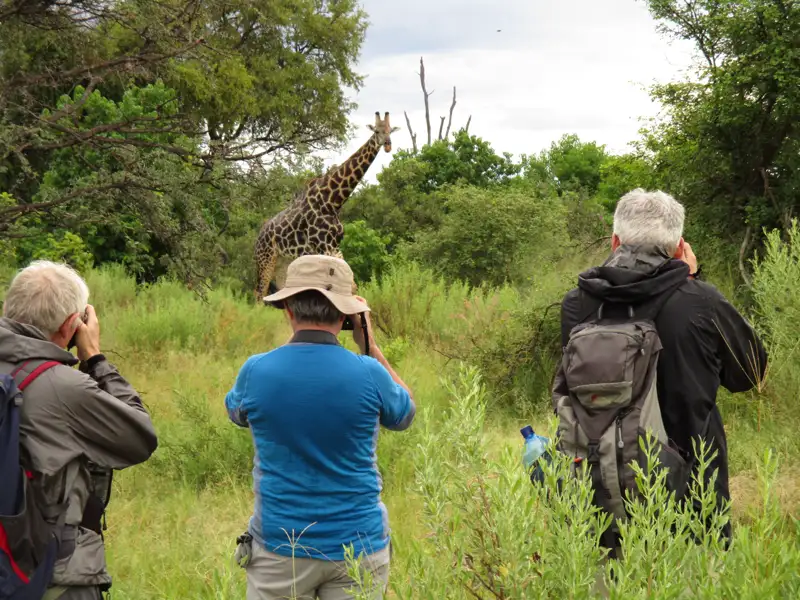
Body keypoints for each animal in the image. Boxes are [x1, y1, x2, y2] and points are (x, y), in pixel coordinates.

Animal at [254, 111, 400, 301]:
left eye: (390, 130)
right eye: (376, 131)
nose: (388, 145)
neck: (333, 201)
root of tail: (258, 236)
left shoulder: (335, 247)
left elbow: (352, 286)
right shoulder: (323, 246)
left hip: (283, 262)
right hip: (265, 259)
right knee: (259, 294)